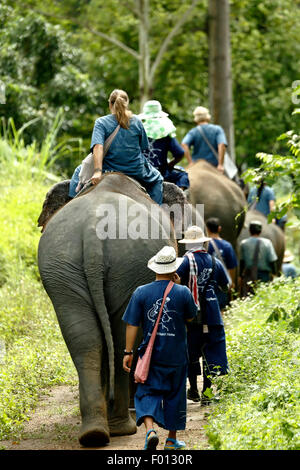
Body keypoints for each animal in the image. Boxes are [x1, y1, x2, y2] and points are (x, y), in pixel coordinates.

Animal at [37, 173, 193, 448]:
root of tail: (91, 232)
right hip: (127, 267)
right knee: (121, 336)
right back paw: (121, 427)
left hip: (63, 269)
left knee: (85, 339)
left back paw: (96, 432)